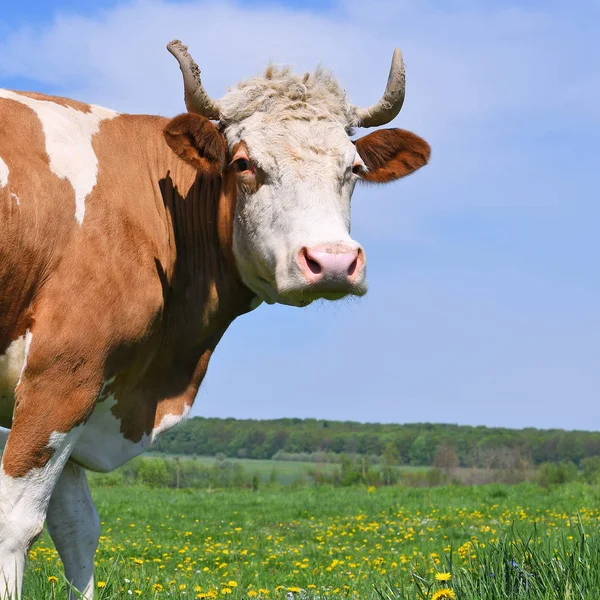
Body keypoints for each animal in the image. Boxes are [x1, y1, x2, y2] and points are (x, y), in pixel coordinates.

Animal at [0, 41, 432, 600]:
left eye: (354, 167)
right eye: (244, 163)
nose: (334, 261)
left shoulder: (84, 385)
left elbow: (75, 527)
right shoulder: (63, 371)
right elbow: (17, 524)